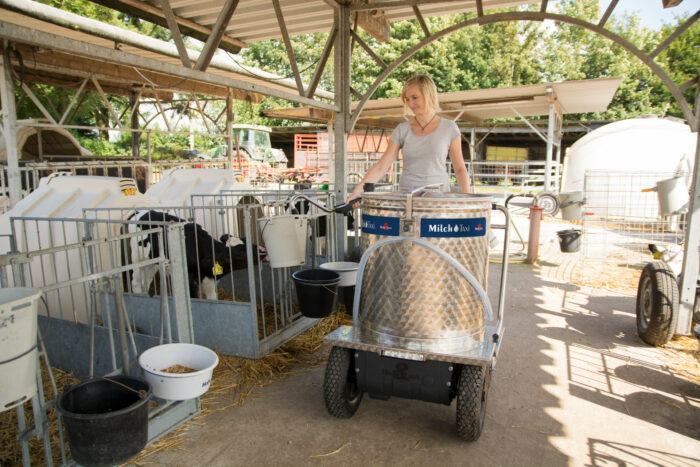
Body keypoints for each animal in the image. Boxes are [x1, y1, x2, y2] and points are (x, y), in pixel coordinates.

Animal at [129, 211, 266, 300]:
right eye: (241, 253)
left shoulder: (211, 282)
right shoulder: (189, 282)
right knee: (135, 283)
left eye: (247, 239)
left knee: (146, 282)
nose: (263, 250)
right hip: (137, 259)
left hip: (152, 263)